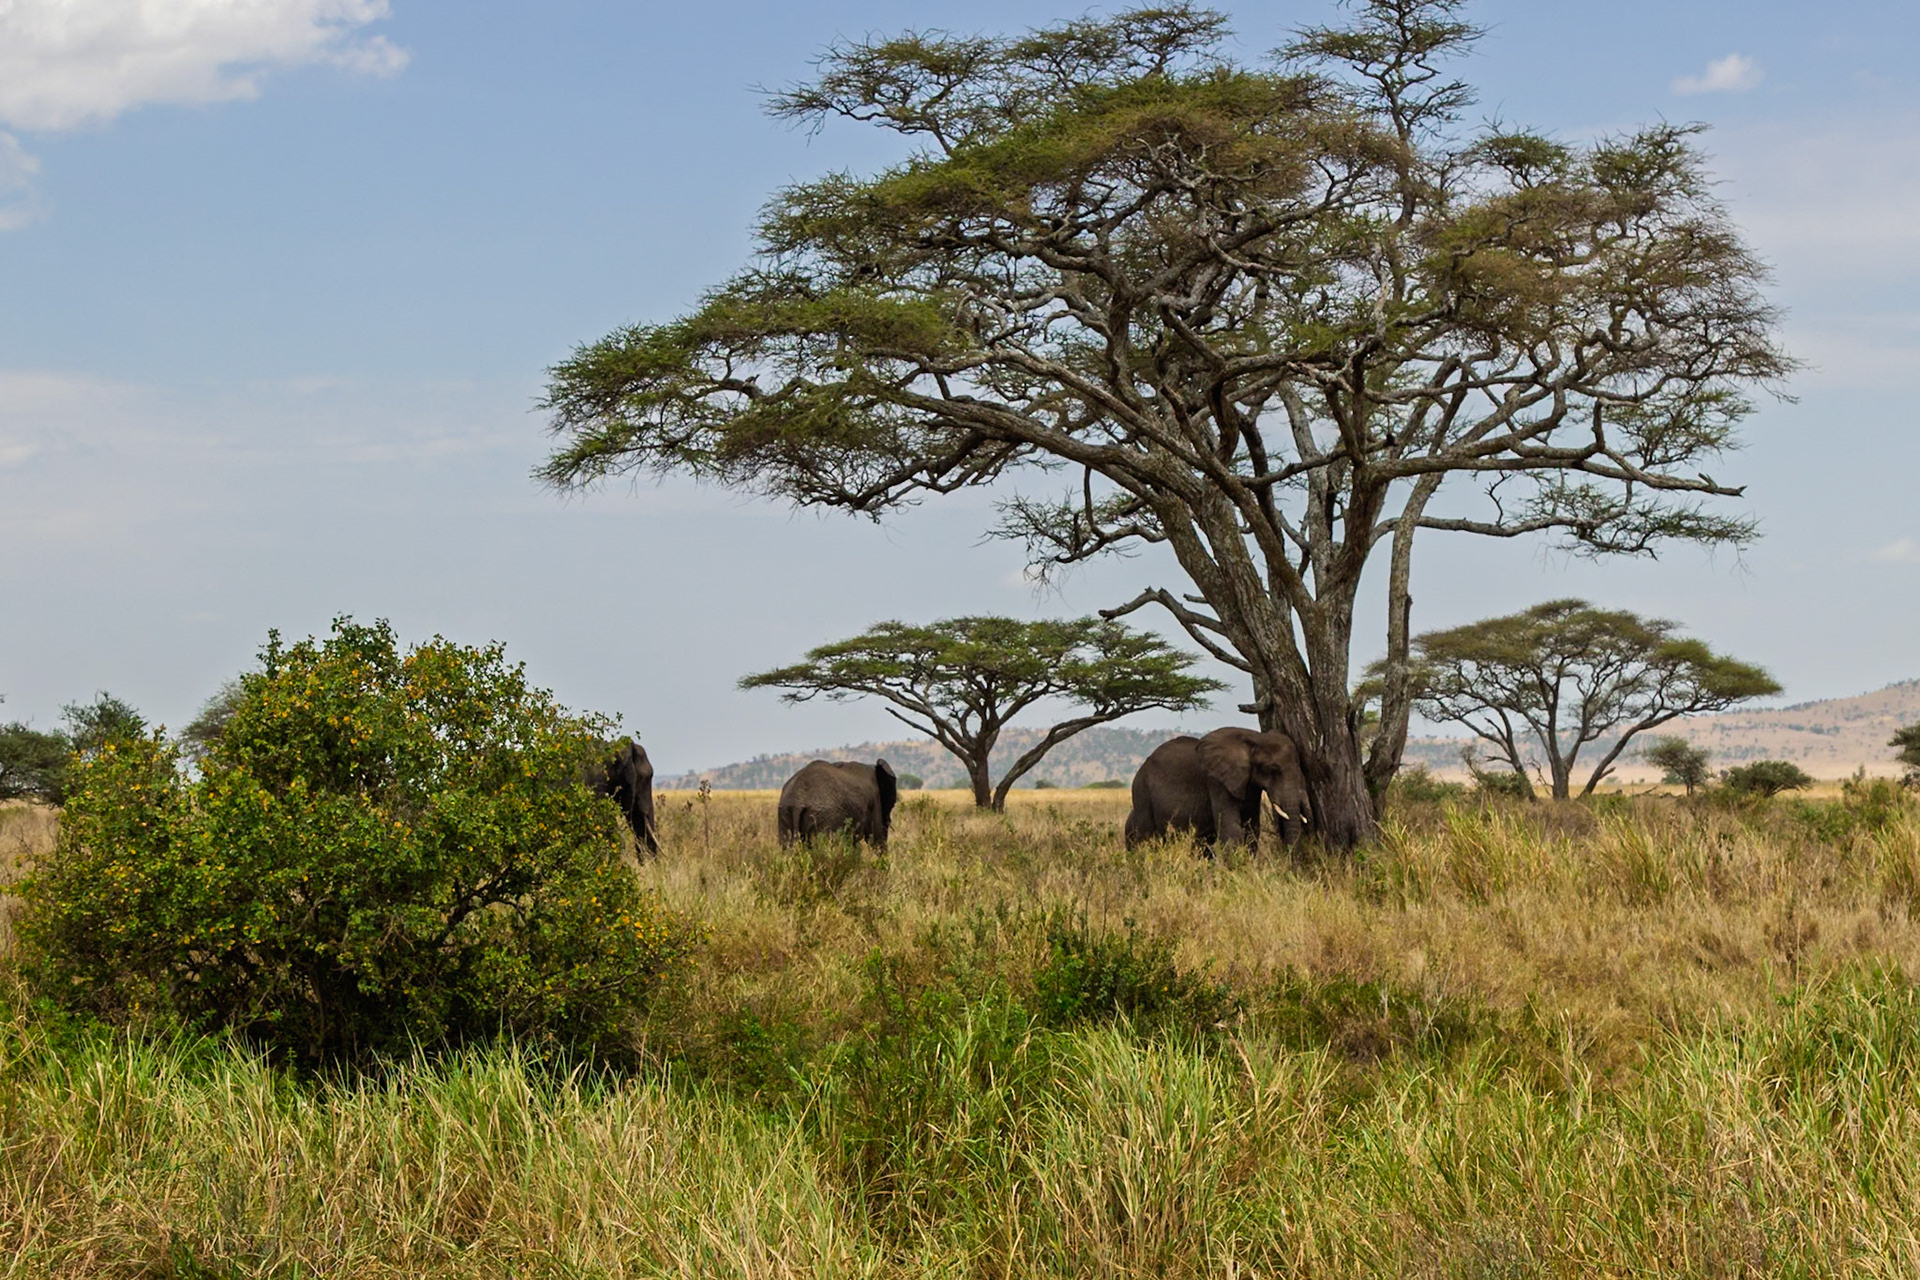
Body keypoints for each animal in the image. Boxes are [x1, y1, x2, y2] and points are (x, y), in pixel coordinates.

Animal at [1124, 726, 1309, 853]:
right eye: (1273, 769)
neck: (1255, 738)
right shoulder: (1216, 781)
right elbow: (1231, 830)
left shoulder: (1249, 784)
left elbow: (1251, 829)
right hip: (1142, 793)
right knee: (1145, 838)